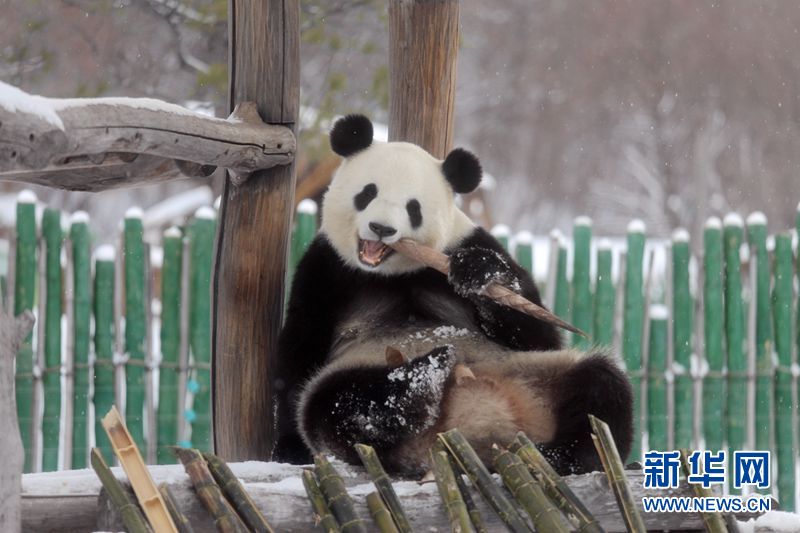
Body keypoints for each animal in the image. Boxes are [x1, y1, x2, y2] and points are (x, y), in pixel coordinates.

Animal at [273, 114, 633, 476]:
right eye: (368, 193)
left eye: (413, 208)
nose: (382, 228)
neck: (395, 271)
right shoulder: (326, 267)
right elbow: (301, 348)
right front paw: (289, 448)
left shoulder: (463, 243)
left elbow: (537, 332)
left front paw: (479, 272)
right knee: (338, 403)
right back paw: (421, 378)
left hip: (539, 374)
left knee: (601, 384)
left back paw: (565, 455)